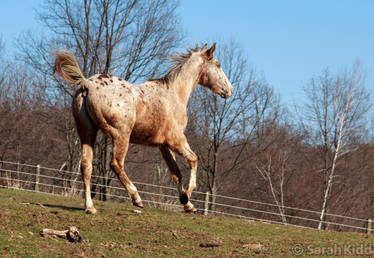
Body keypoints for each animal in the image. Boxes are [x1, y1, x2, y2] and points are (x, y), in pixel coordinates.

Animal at [54, 42, 232, 214]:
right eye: (218, 65)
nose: (230, 90)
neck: (174, 95)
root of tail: (87, 84)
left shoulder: (163, 146)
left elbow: (176, 173)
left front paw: (187, 204)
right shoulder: (176, 140)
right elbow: (193, 160)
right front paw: (187, 195)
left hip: (87, 133)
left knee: (86, 166)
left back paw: (90, 207)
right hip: (121, 136)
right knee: (116, 164)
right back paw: (136, 198)